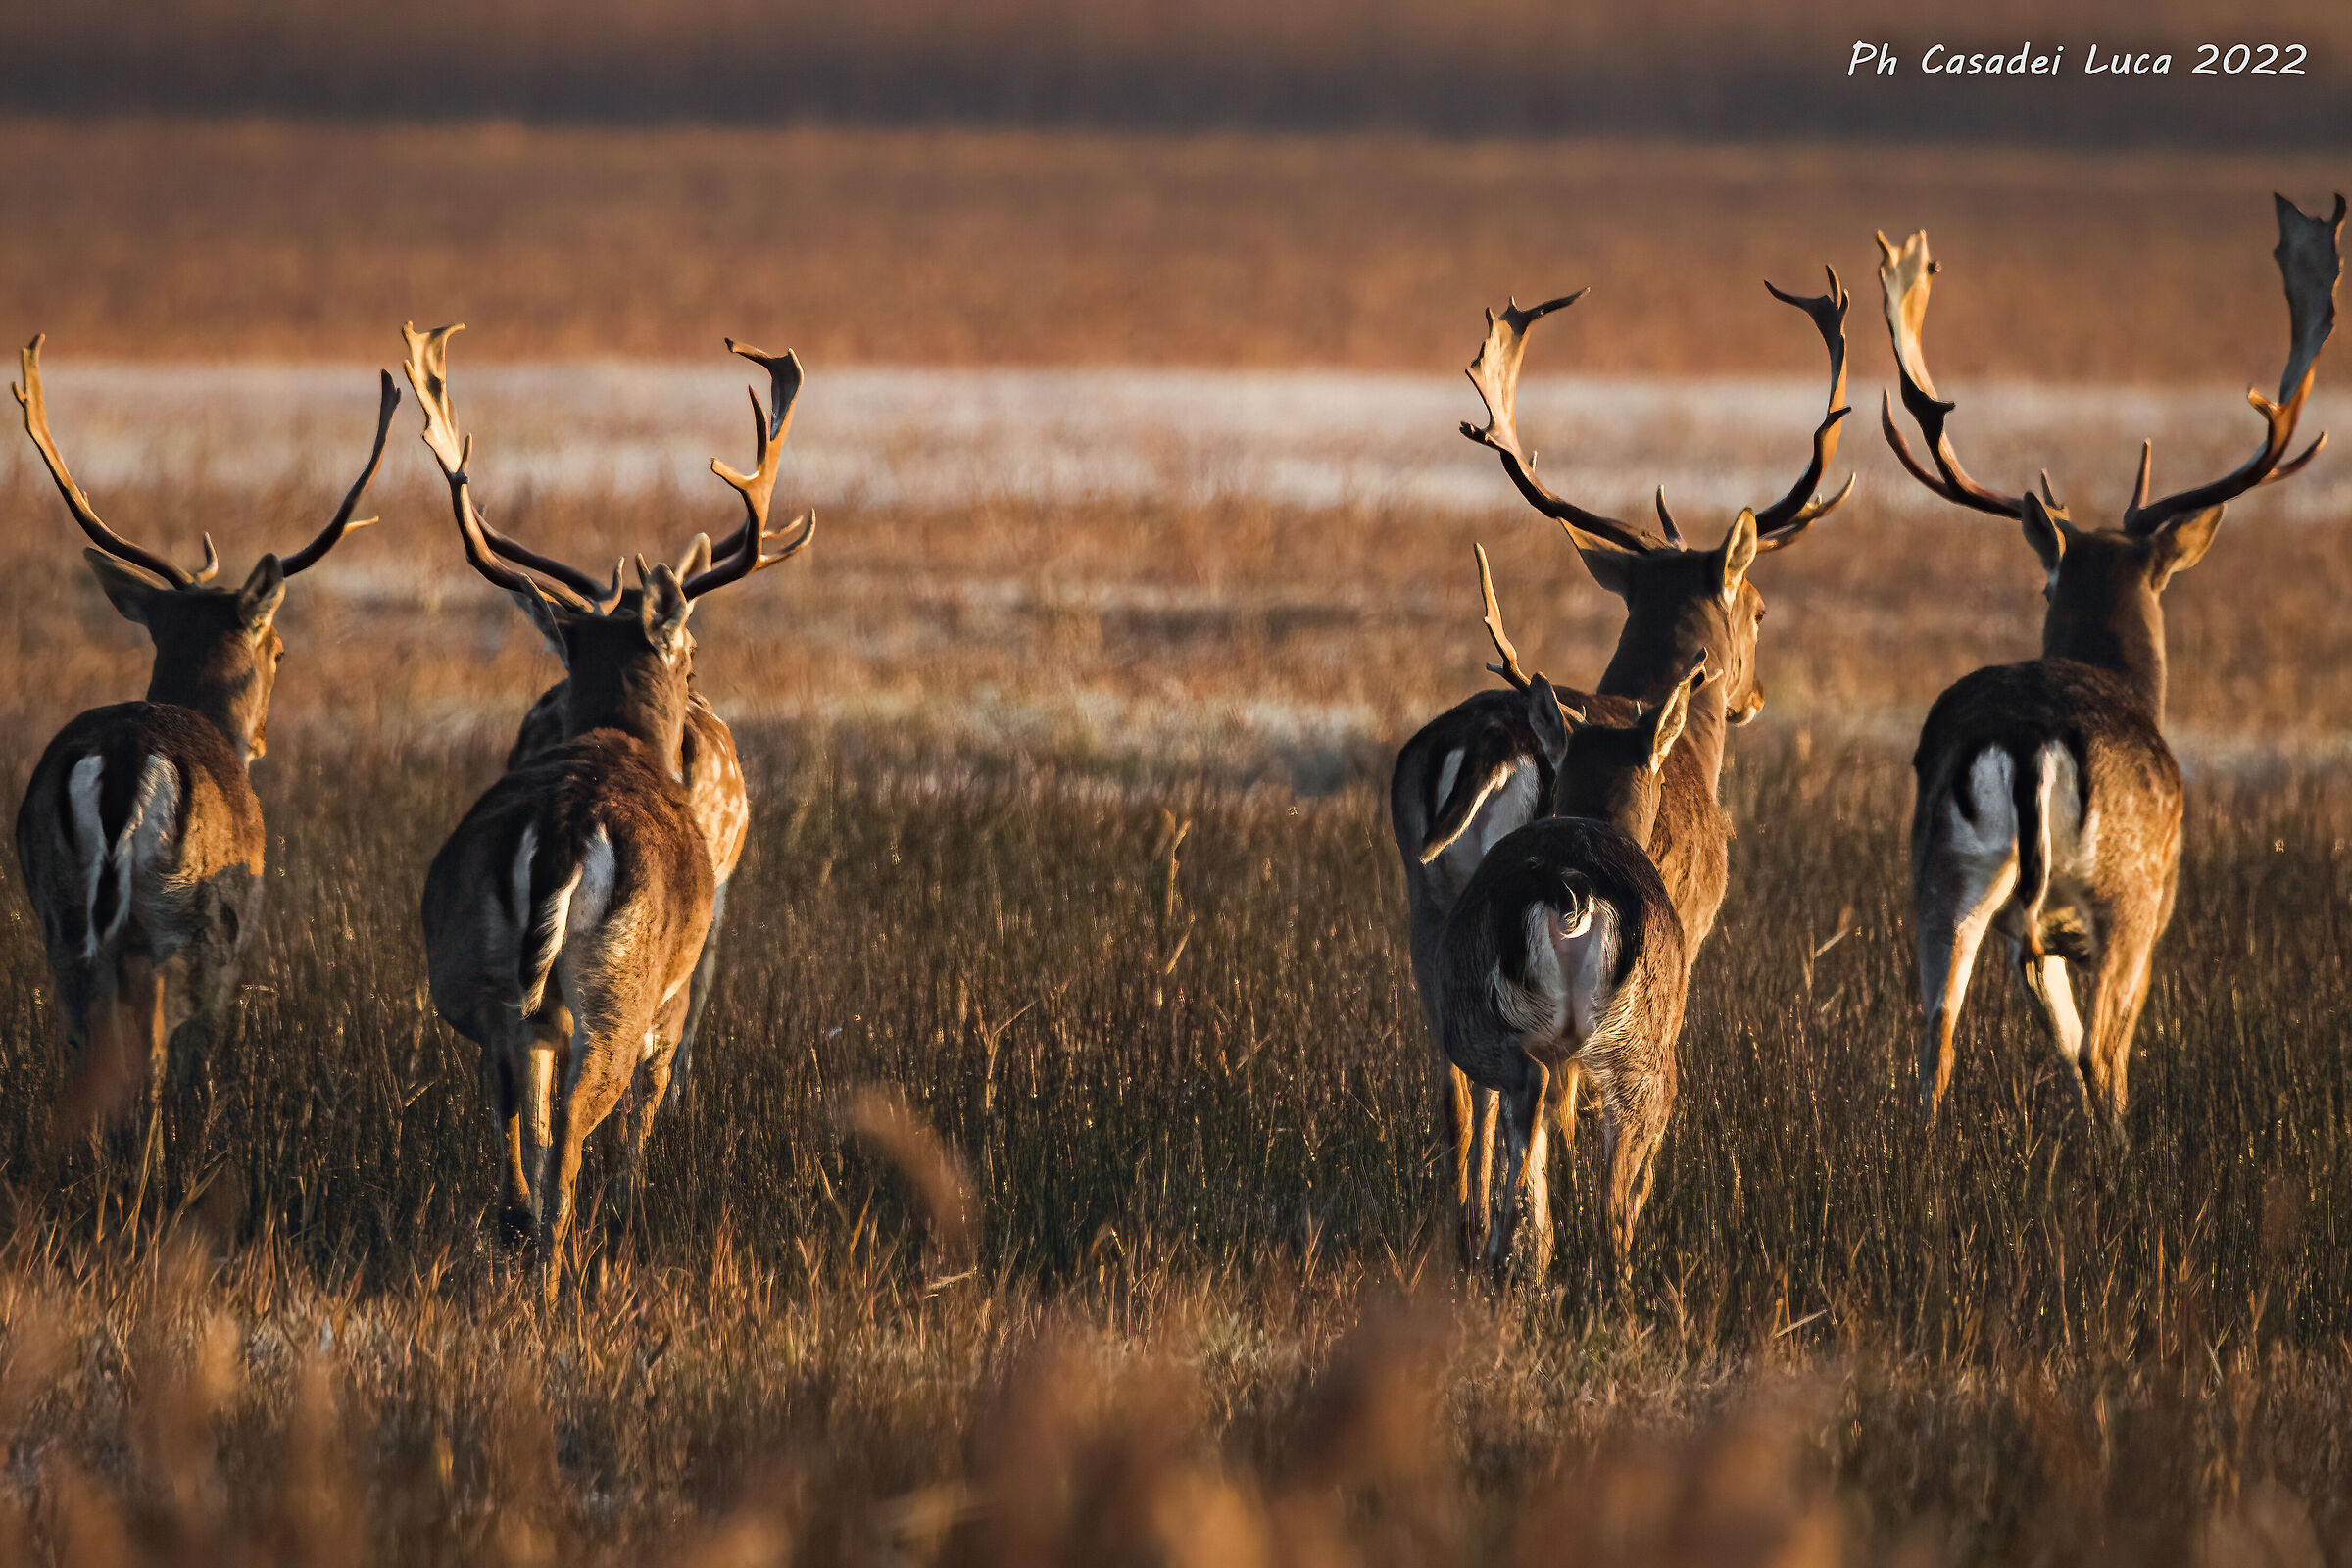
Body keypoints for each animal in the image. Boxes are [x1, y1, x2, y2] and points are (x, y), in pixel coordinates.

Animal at [10, 338, 396, 1129]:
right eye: (281, 649)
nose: (263, 739)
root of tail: (125, 763)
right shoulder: (236, 929)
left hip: (60, 914)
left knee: (82, 1046)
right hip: (182, 920)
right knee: (153, 1060)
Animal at [1434, 554, 1707, 1285]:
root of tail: (1572, 893)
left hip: (1497, 1019)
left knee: (1525, 1104)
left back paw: (1516, 1253)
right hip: (1640, 1040)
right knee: (1614, 1191)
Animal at [1881, 193, 2342, 1139]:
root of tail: (2028, 744)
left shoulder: (2035, 935)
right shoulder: (2155, 905)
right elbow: (2097, 1051)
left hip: (1943, 873)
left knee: (1935, 1035)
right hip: (2126, 891)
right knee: (2104, 1051)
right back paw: (2120, 1150)